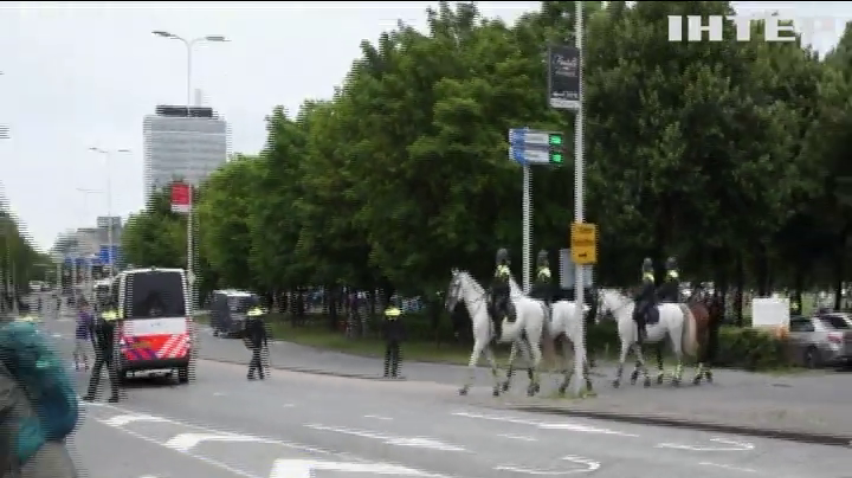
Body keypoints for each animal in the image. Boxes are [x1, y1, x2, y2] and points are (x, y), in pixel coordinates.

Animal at [442, 268, 548, 396]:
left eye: (455, 285)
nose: (447, 306)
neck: (478, 309)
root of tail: (538, 303)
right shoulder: (485, 344)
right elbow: (492, 364)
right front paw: (497, 389)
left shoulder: (479, 343)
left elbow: (472, 363)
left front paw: (464, 388)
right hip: (523, 338)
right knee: (529, 357)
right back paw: (532, 385)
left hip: (532, 337)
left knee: (537, 356)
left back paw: (534, 388)